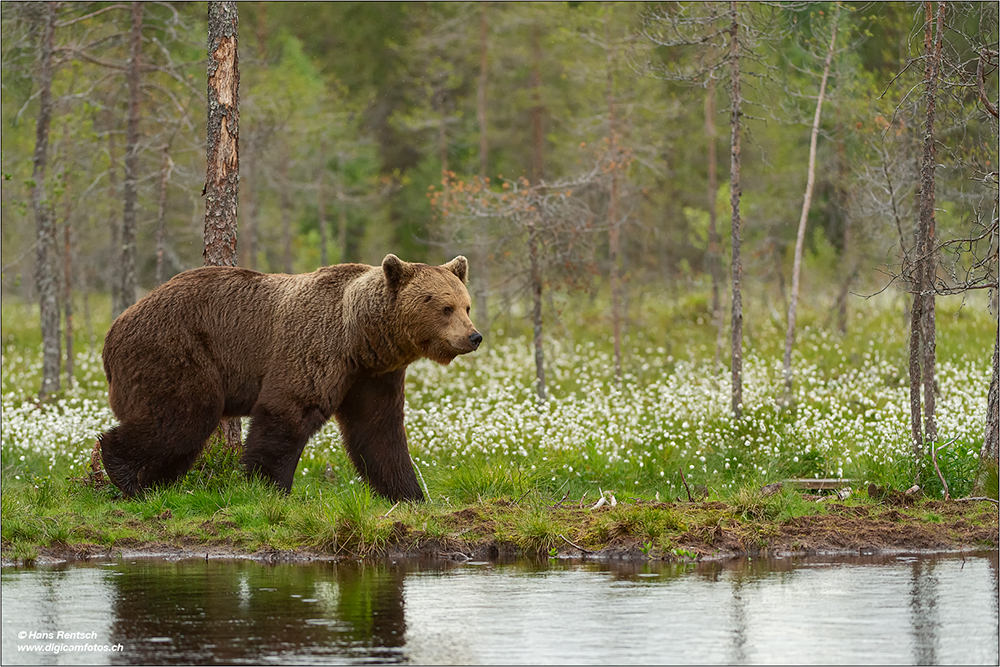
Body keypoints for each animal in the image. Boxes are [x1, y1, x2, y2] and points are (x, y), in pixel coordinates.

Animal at [97, 254, 480, 500]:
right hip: (175, 351)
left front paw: (409, 494)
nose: (473, 336)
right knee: (181, 416)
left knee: (180, 432)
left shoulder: (373, 376)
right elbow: (287, 413)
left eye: (466, 305)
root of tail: (112, 331)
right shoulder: (314, 348)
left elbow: (378, 431)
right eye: (444, 307)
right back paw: (126, 474)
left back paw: (155, 482)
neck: (360, 337)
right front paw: (266, 486)